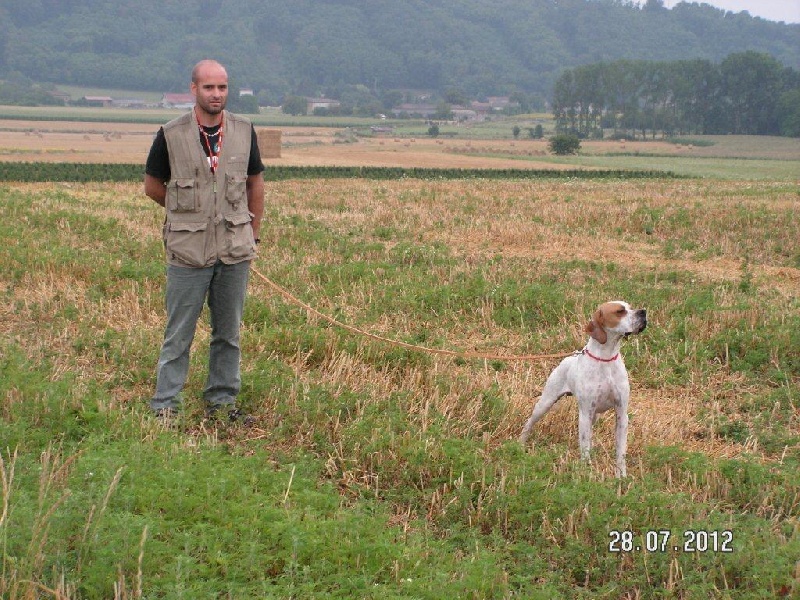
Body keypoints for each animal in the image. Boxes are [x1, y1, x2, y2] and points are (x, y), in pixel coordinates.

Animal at [520, 302, 648, 476]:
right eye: (620, 311)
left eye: (631, 307)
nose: (643, 312)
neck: (606, 358)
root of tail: (568, 358)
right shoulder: (585, 413)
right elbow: (585, 447)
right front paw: (587, 473)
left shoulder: (621, 414)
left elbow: (620, 452)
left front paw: (621, 477)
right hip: (545, 403)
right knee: (529, 423)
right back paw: (519, 443)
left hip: (593, 416)